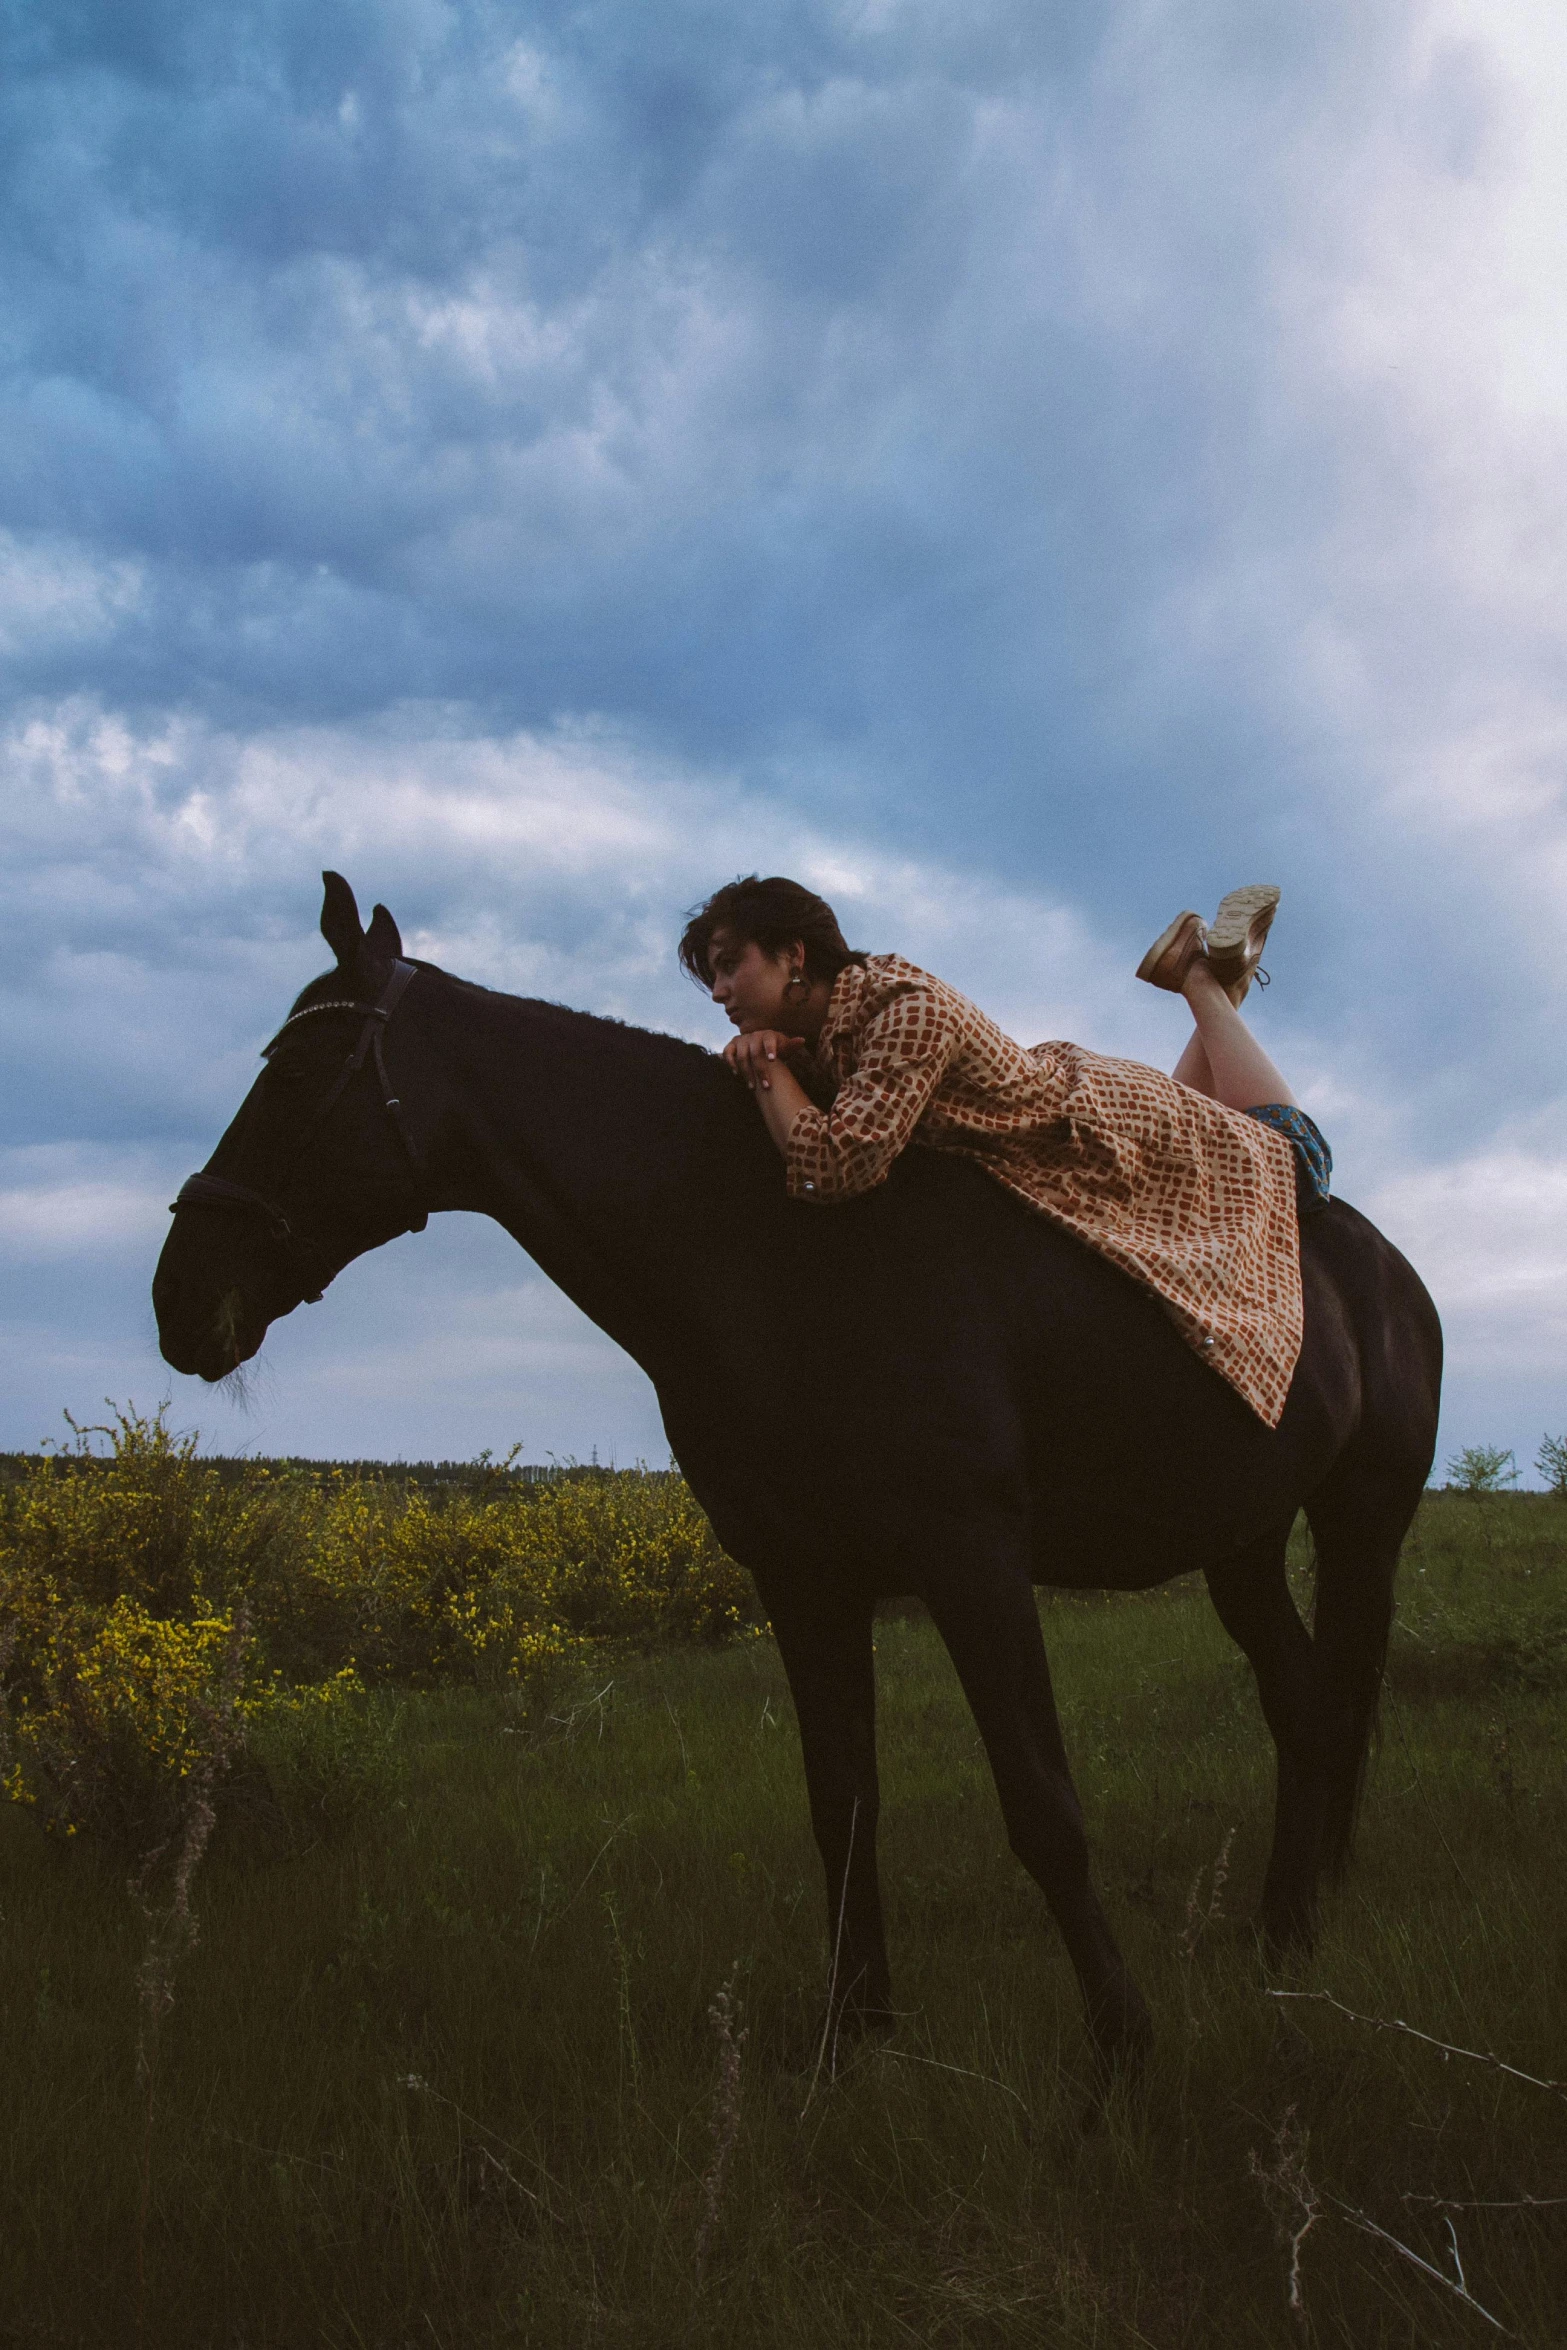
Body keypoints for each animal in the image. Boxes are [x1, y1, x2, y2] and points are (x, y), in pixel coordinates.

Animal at [152, 883, 1437, 2077]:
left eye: (296, 1067)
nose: (180, 1299)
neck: (781, 1258)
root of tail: (1371, 1253)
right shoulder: (802, 1577)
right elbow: (841, 1804)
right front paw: (850, 2039)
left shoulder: (973, 1560)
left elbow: (1042, 1805)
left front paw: (1121, 2042)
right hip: (1242, 1539)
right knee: (1303, 1707)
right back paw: (1281, 1929)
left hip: (1360, 1521)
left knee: (1331, 1697)